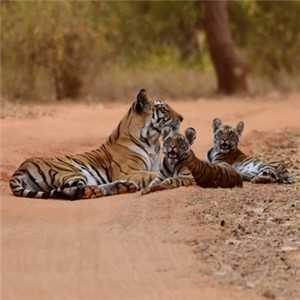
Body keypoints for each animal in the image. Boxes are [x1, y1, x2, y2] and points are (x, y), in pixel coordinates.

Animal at [9, 90, 183, 200]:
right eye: (164, 109)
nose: (181, 118)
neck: (152, 141)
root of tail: (20, 169)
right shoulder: (128, 172)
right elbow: (153, 175)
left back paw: (123, 187)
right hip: (70, 172)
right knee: (69, 190)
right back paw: (97, 191)